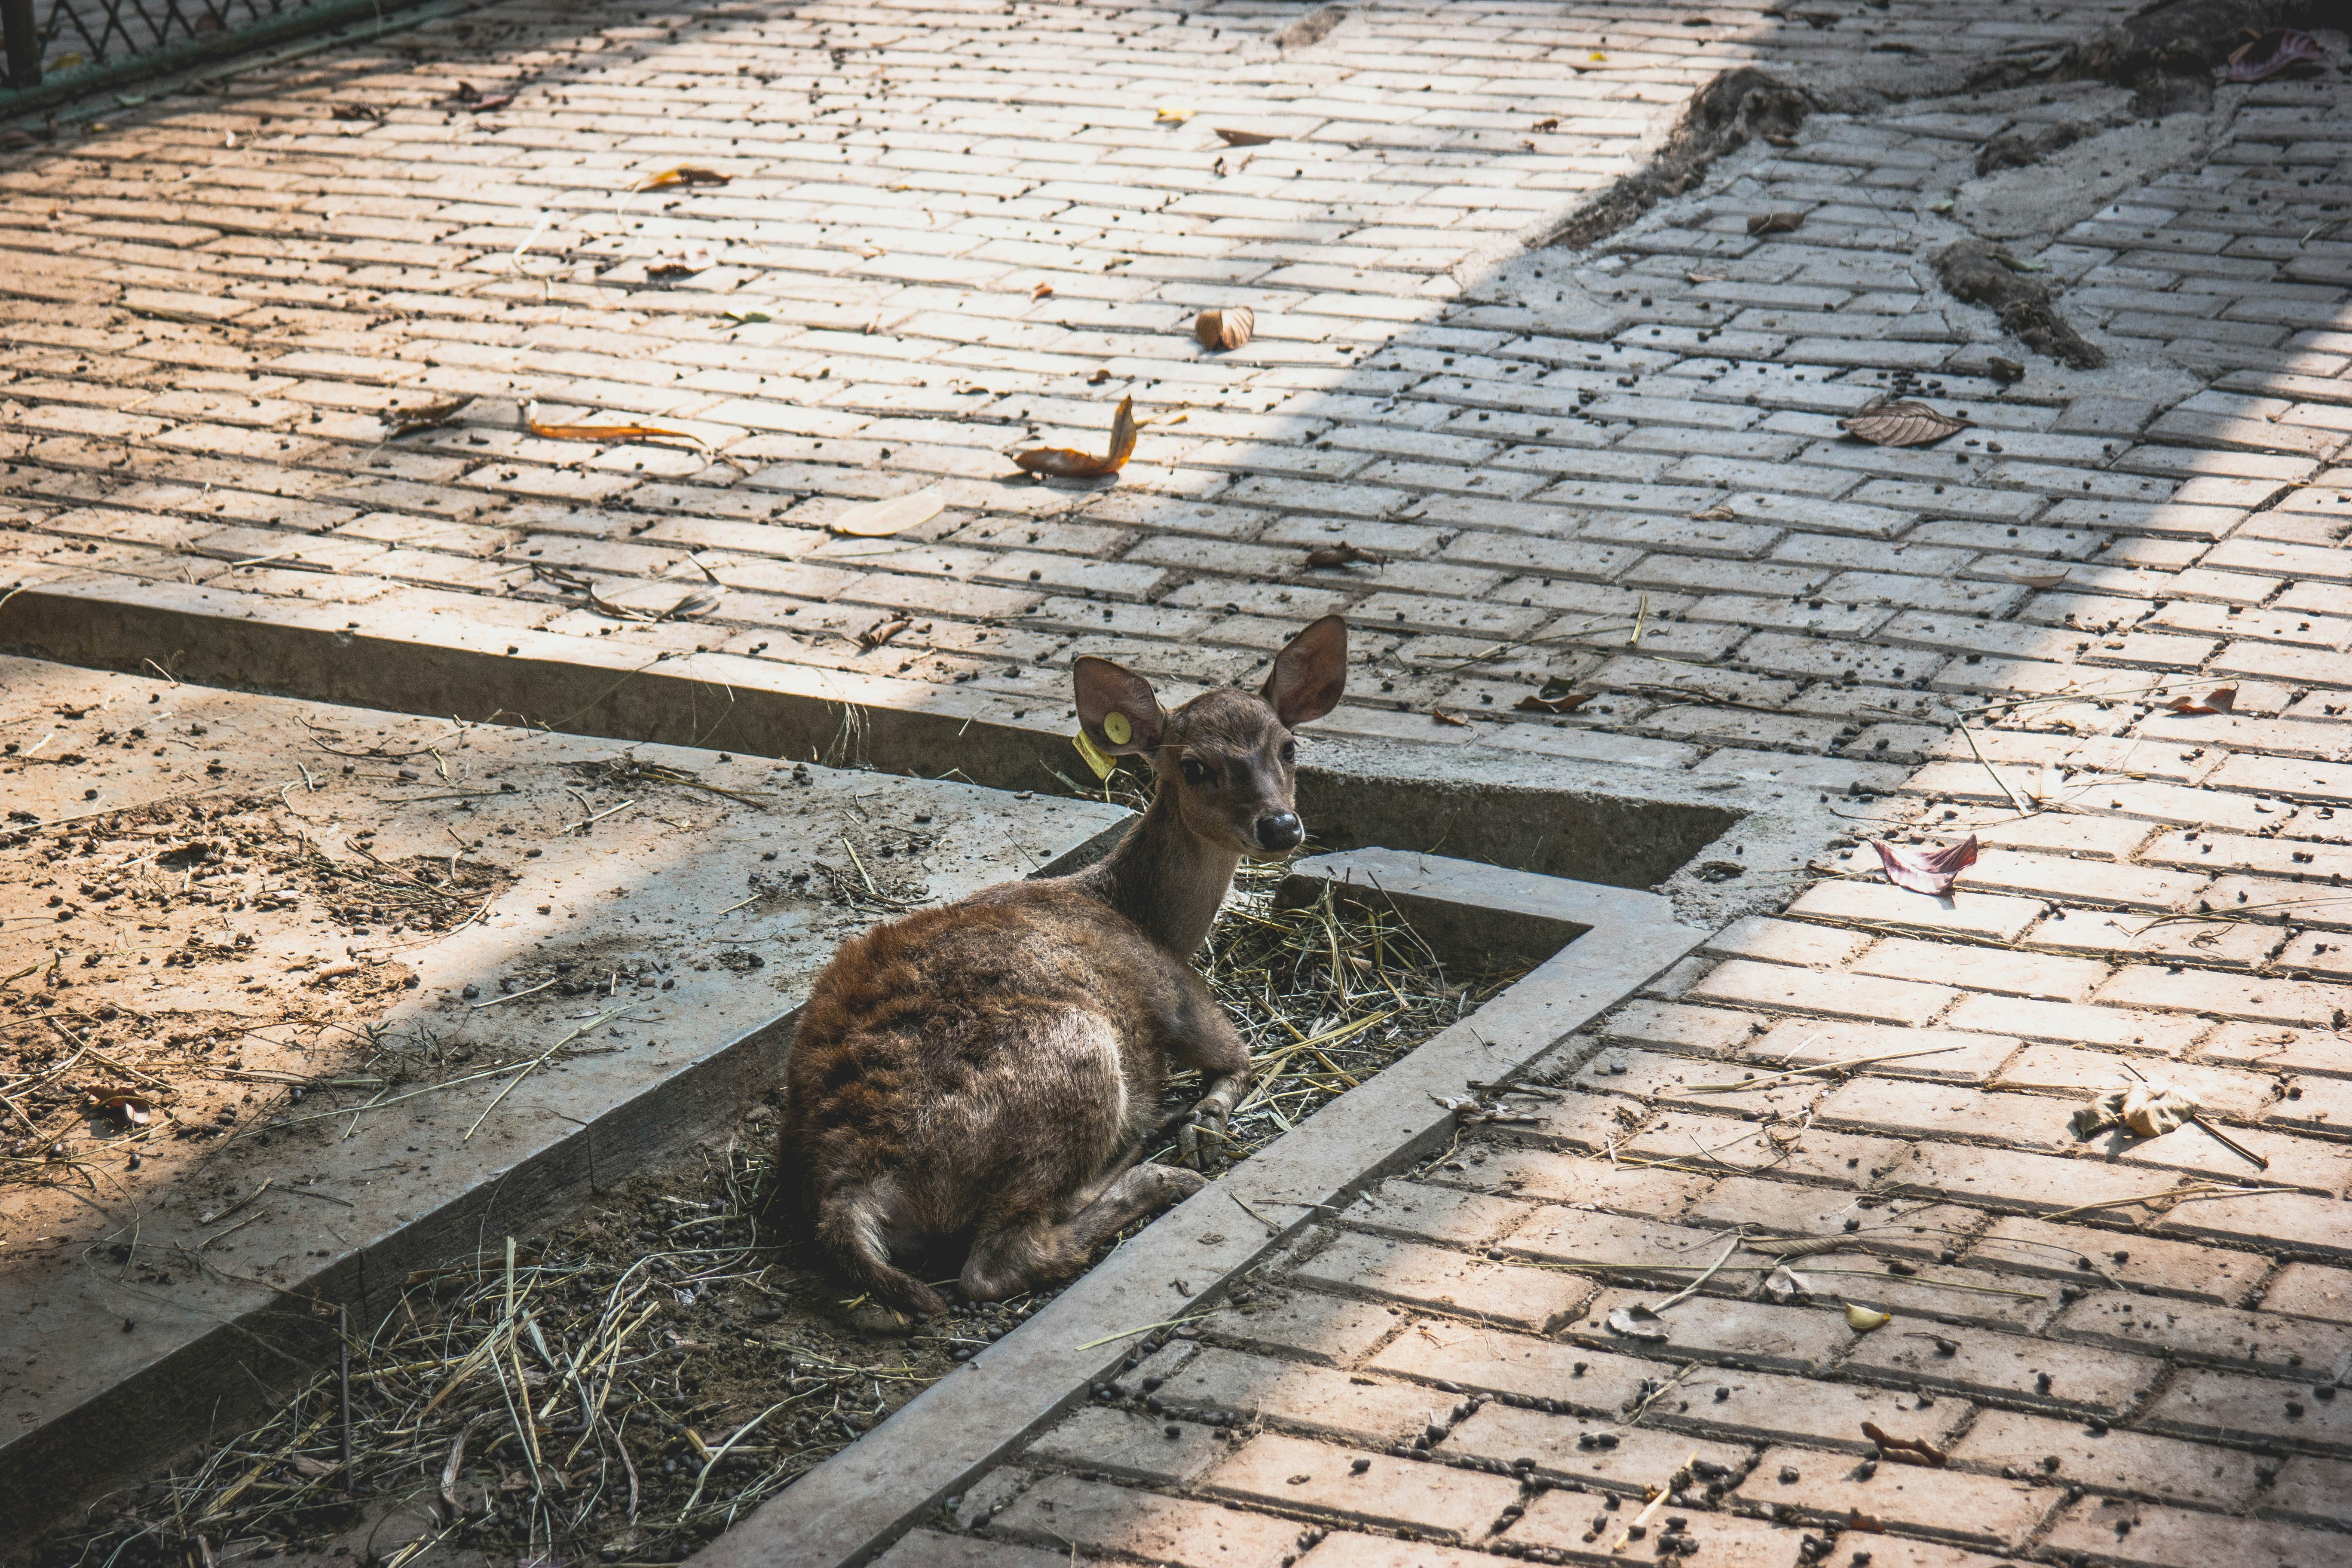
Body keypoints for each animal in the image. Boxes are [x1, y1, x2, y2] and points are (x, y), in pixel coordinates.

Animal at [779, 616, 1348, 1318]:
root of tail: (853, 1182)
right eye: (1194, 767)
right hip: (1079, 1058)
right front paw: (1203, 1125)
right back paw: (1155, 1168)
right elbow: (1239, 1062)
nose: (1281, 826)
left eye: (1290, 747)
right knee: (998, 1261)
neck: (1146, 917)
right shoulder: (1180, 998)